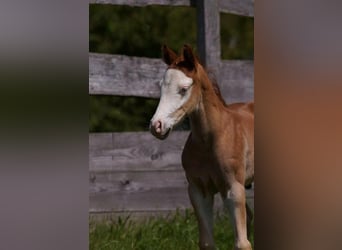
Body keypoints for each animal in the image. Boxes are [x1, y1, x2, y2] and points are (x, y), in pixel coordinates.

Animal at [150, 45, 254, 250]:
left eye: (184, 89)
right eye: (161, 86)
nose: (156, 126)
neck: (211, 140)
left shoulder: (234, 189)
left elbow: (242, 243)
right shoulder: (198, 191)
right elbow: (206, 242)